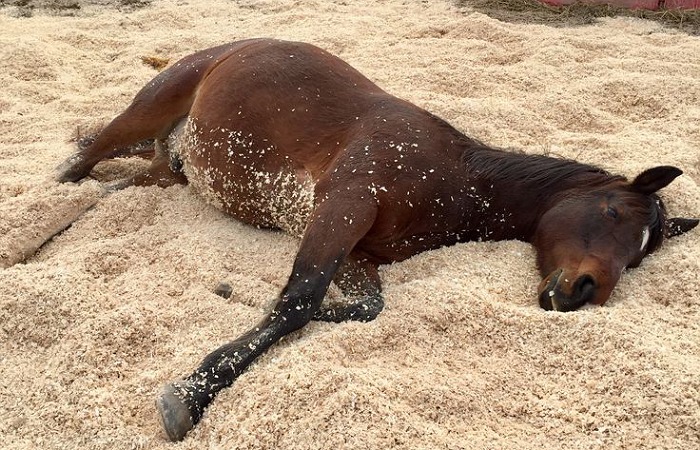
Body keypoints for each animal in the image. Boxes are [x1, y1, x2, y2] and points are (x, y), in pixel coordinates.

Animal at [55, 38, 698, 441]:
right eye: (611, 211)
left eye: (640, 255)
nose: (584, 292)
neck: (455, 178)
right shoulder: (345, 204)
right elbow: (298, 301)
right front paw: (192, 393)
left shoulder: (357, 249)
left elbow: (362, 308)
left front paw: (230, 296)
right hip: (151, 106)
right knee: (82, 162)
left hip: (169, 170)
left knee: (115, 188)